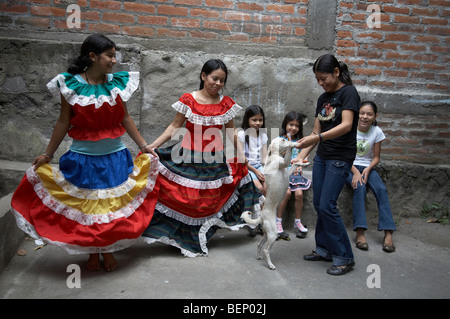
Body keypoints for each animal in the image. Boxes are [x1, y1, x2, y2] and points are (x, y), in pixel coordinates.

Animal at [241, 138, 304, 270]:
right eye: (283, 139)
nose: (288, 138)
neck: (274, 156)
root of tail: (261, 216)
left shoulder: (287, 171)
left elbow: (295, 164)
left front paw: (304, 164)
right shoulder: (284, 162)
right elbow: (290, 153)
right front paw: (293, 144)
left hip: (267, 234)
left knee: (259, 245)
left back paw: (259, 257)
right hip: (273, 234)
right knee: (266, 249)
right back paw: (270, 265)